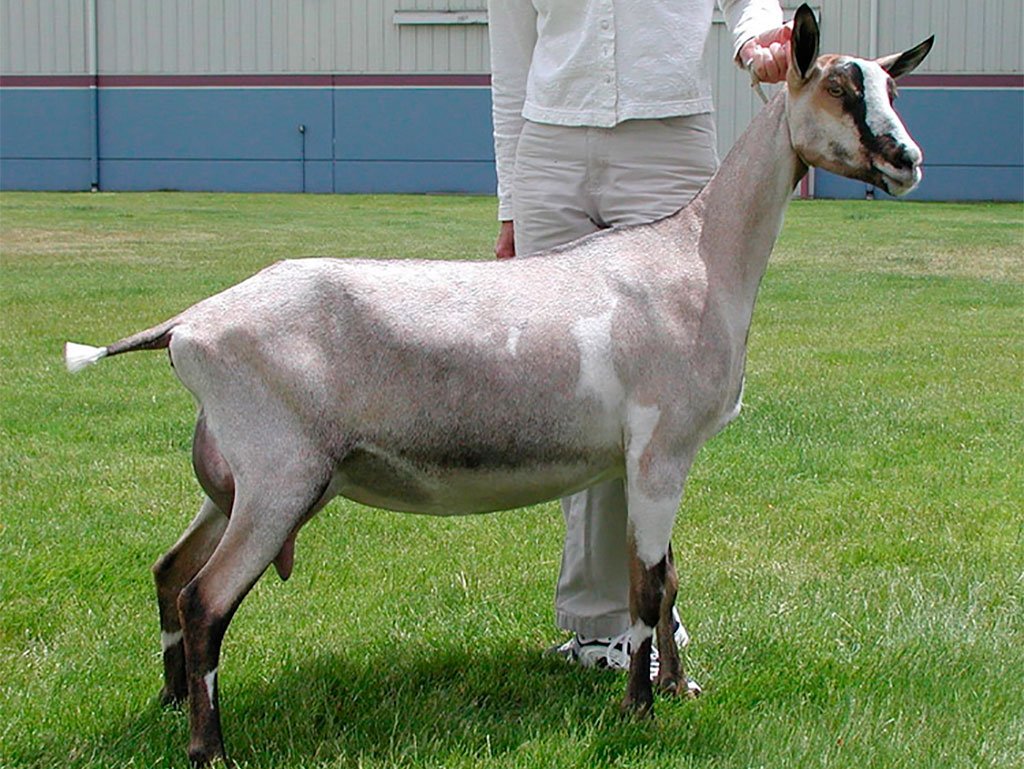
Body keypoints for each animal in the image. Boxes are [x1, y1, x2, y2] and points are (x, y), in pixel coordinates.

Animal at [64, 6, 932, 764]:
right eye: (839, 88)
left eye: (893, 88)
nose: (907, 161)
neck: (697, 255)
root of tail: (187, 325)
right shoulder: (661, 447)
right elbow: (648, 587)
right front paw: (637, 711)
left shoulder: (650, 456)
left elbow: (667, 579)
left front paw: (679, 690)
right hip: (280, 475)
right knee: (205, 601)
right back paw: (210, 747)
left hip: (234, 479)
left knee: (169, 572)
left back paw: (172, 702)